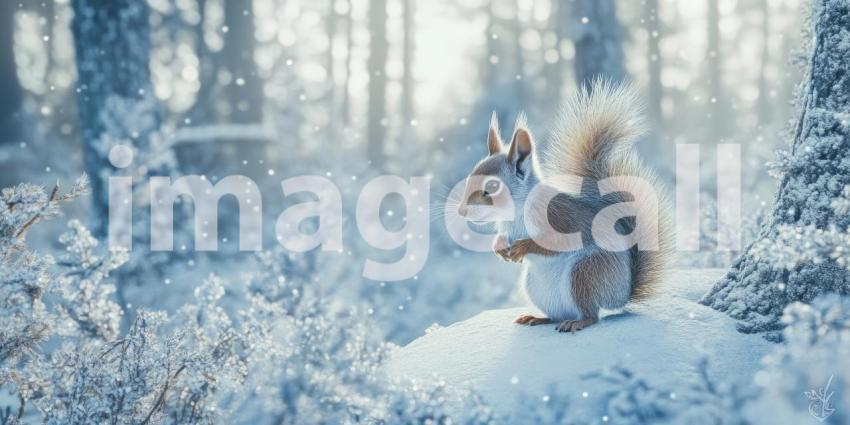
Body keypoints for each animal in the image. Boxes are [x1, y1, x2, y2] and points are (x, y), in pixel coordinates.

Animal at [457, 79, 673, 333]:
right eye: (470, 177)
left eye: (491, 187)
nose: (461, 211)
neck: (518, 212)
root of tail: (620, 295)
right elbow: (502, 238)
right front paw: (499, 247)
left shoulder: (560, 218)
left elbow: (556, 243)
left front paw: (523, 247)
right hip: (538, 288)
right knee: (559, 315)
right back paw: (538, 318)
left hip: (586, 273)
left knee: (592, 314)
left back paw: (578, 322)